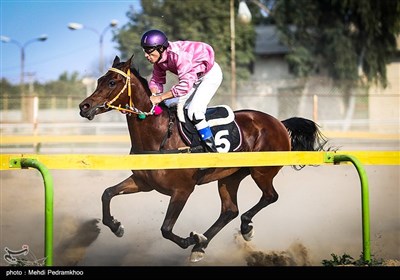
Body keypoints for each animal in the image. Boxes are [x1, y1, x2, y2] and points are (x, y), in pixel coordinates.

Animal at [79, 55, 328, 262]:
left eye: (112, 82)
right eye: (99, 80)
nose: (84, 106)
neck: (160, 136)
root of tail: (279, 123)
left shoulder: (182, 190)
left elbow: (166, 229)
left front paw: (191, 239)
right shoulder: (143, 182)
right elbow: (107, 193)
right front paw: (116, 226)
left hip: (261, 171)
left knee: (270, 196)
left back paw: (243, 228)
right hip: (230, 177)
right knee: (230, 210)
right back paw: (202, 246)